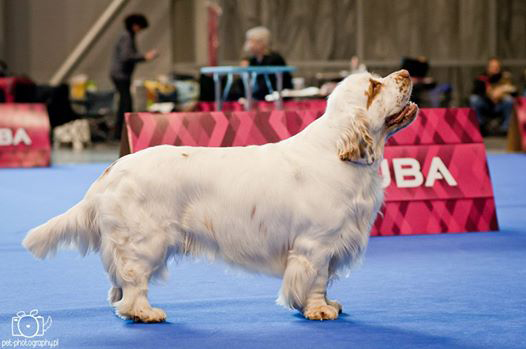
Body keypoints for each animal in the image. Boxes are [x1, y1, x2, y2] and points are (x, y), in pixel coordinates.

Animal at [23, 69, 420, 322]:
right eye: (373, 87)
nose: (405, 72)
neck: (337, 152)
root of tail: (111, 171)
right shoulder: (316, 245)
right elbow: (316, 281)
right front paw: (319, 310)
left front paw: (330, 305)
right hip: (145, 241)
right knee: (133, 284)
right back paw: (146, 313)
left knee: (117, 287)